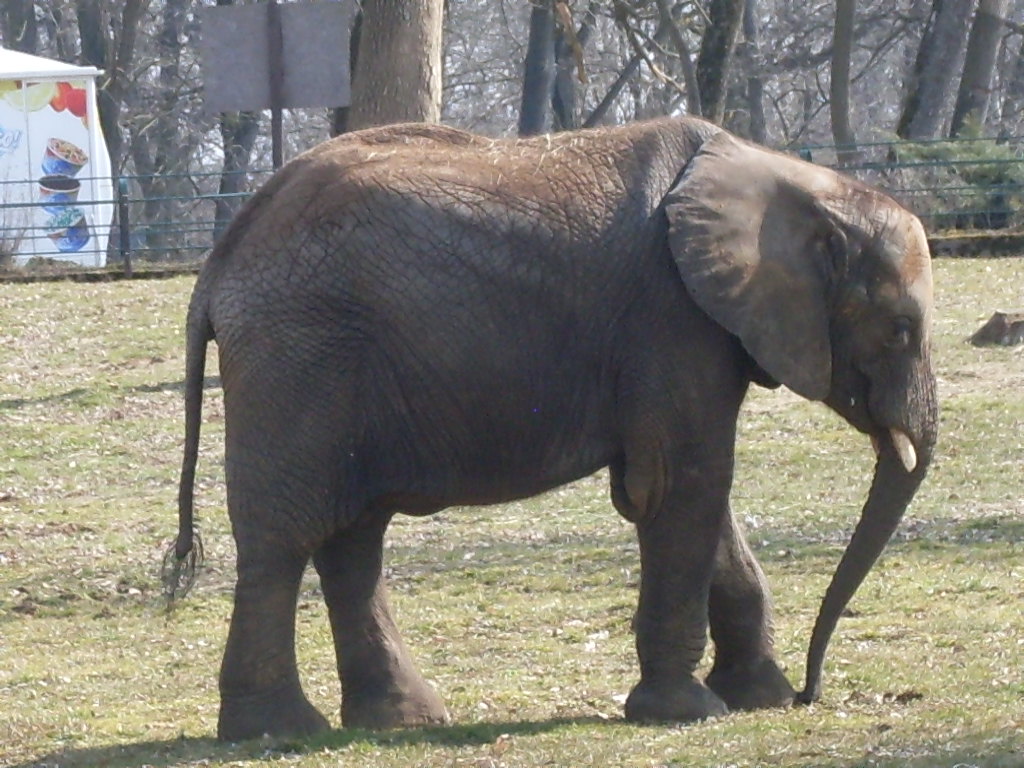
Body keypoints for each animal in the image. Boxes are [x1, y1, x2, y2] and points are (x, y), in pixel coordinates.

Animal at [165, 116, 937, 741]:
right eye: (901, 329)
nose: (811, 693)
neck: (788, 180)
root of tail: (219, 262)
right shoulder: (672, 319)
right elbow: (681, 484)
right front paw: (689, 713)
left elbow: (678, 490)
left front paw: (758, 698)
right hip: (299, 356)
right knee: (285, 540)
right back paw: (277, 732)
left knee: (353, 539)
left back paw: (400, 722)